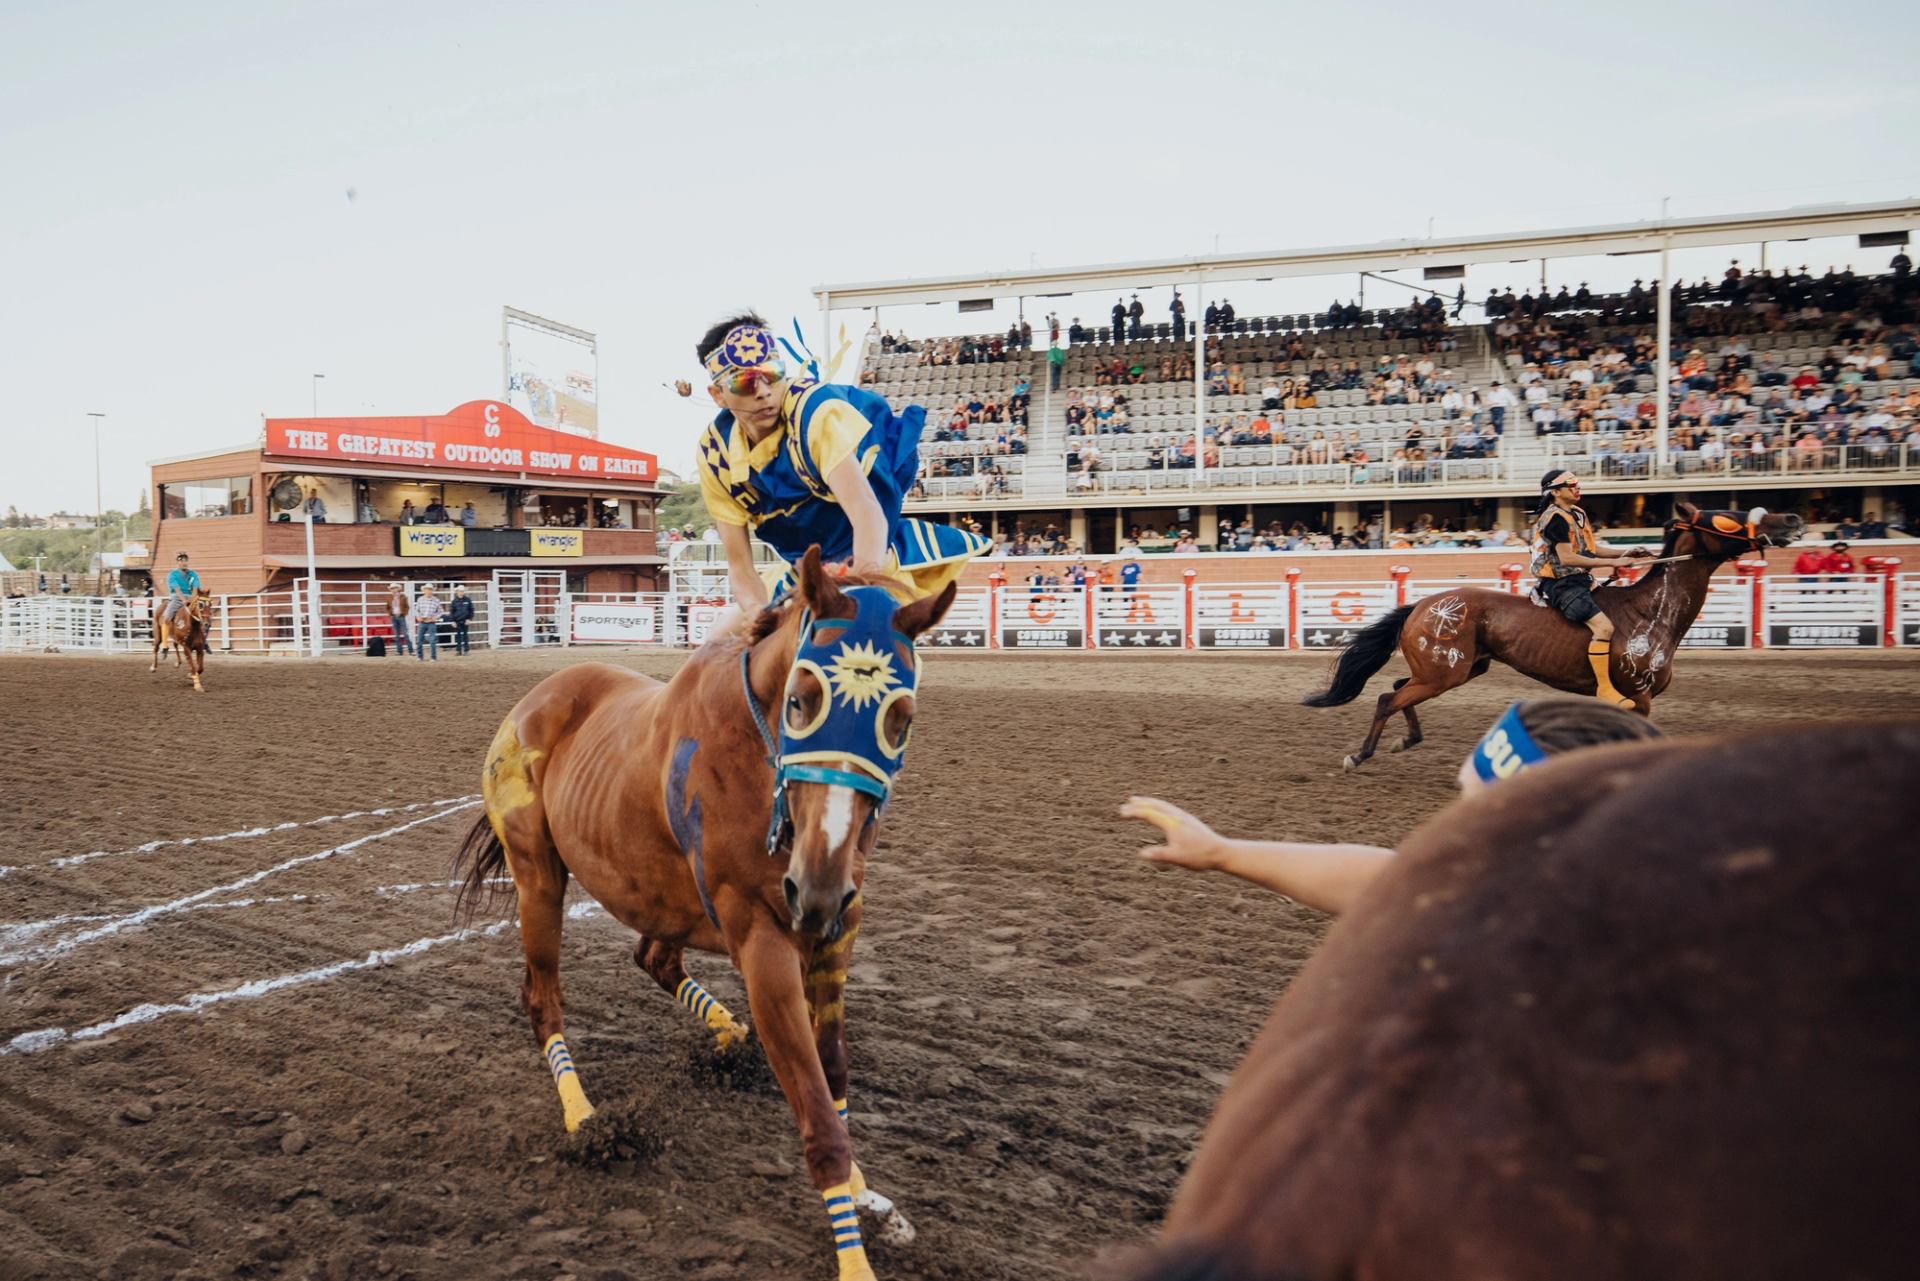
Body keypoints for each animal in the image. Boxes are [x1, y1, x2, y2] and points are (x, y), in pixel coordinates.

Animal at [456, 553, 952, 1281]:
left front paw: (869, 1199)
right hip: (538, 879)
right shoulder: (763, 942)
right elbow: (819, 1117)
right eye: (801, 699)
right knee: (543, 997)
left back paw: (729, 1036)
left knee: (654, 958)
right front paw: (854, 1257)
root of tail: (538, 699)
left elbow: (833, 1075)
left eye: (902, 718)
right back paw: (585, 1117)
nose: (815, 882)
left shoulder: (839, 925)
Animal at [1305, 503, 1797, 768]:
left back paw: (1406, 739)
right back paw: (1361, 754)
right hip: (1443, 673)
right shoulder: (1638, 697)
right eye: (1728, 518)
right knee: (1388, 697)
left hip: (1451, 671)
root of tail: (1427, 605)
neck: (1650, 612)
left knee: (1396, 687)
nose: (1790, 519)